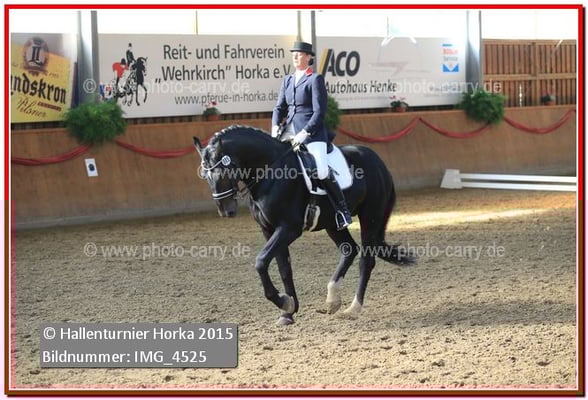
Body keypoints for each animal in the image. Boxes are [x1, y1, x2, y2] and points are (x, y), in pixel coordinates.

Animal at [193, 125, 415, 325]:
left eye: (222, 171)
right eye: (205, 175)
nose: (226, 210)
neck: (270, 172)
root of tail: (377, 159)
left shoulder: (289, 228)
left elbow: (261, 261)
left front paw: (283, 302)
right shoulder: (269, 230)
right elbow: (284, 268)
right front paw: (288, 311)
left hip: (370, 216)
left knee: (366, 260)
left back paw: (353, 309)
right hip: (332, 223)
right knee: (349, 250)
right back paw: (332, 300)